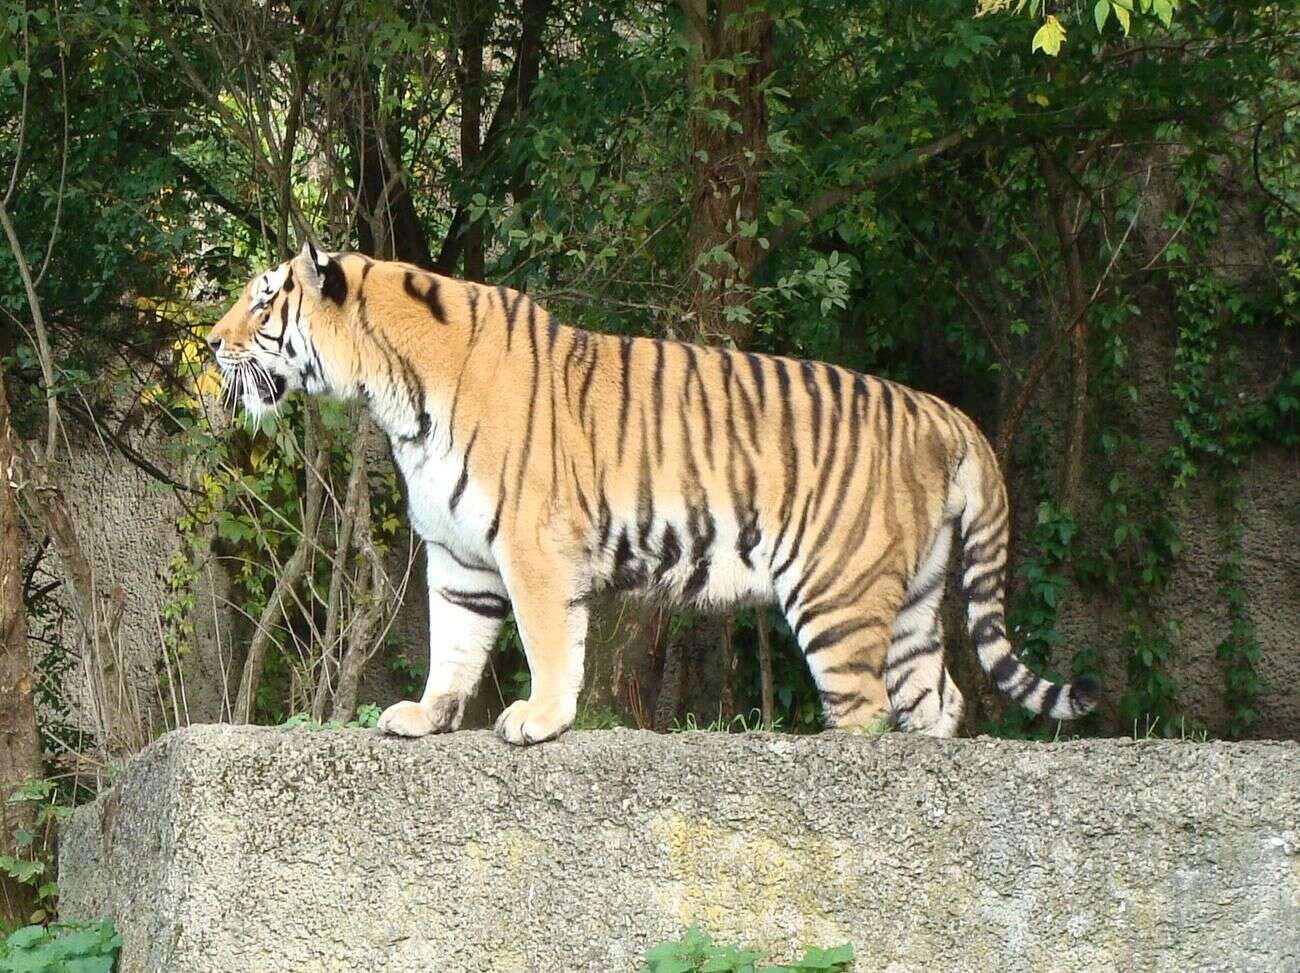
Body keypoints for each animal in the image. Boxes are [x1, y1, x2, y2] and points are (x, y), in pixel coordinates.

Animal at [205, 243, 1097, 744]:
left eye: (262, 298)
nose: (211, 344)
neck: (393, 395)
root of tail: (946, 414)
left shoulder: (532, 544)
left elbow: (549, 641)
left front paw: (538, 719)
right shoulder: (459, 556)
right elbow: (453, 644)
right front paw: (425, 715)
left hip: (838, 591)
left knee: (867, 704)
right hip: (909, 596)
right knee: (937, 698)